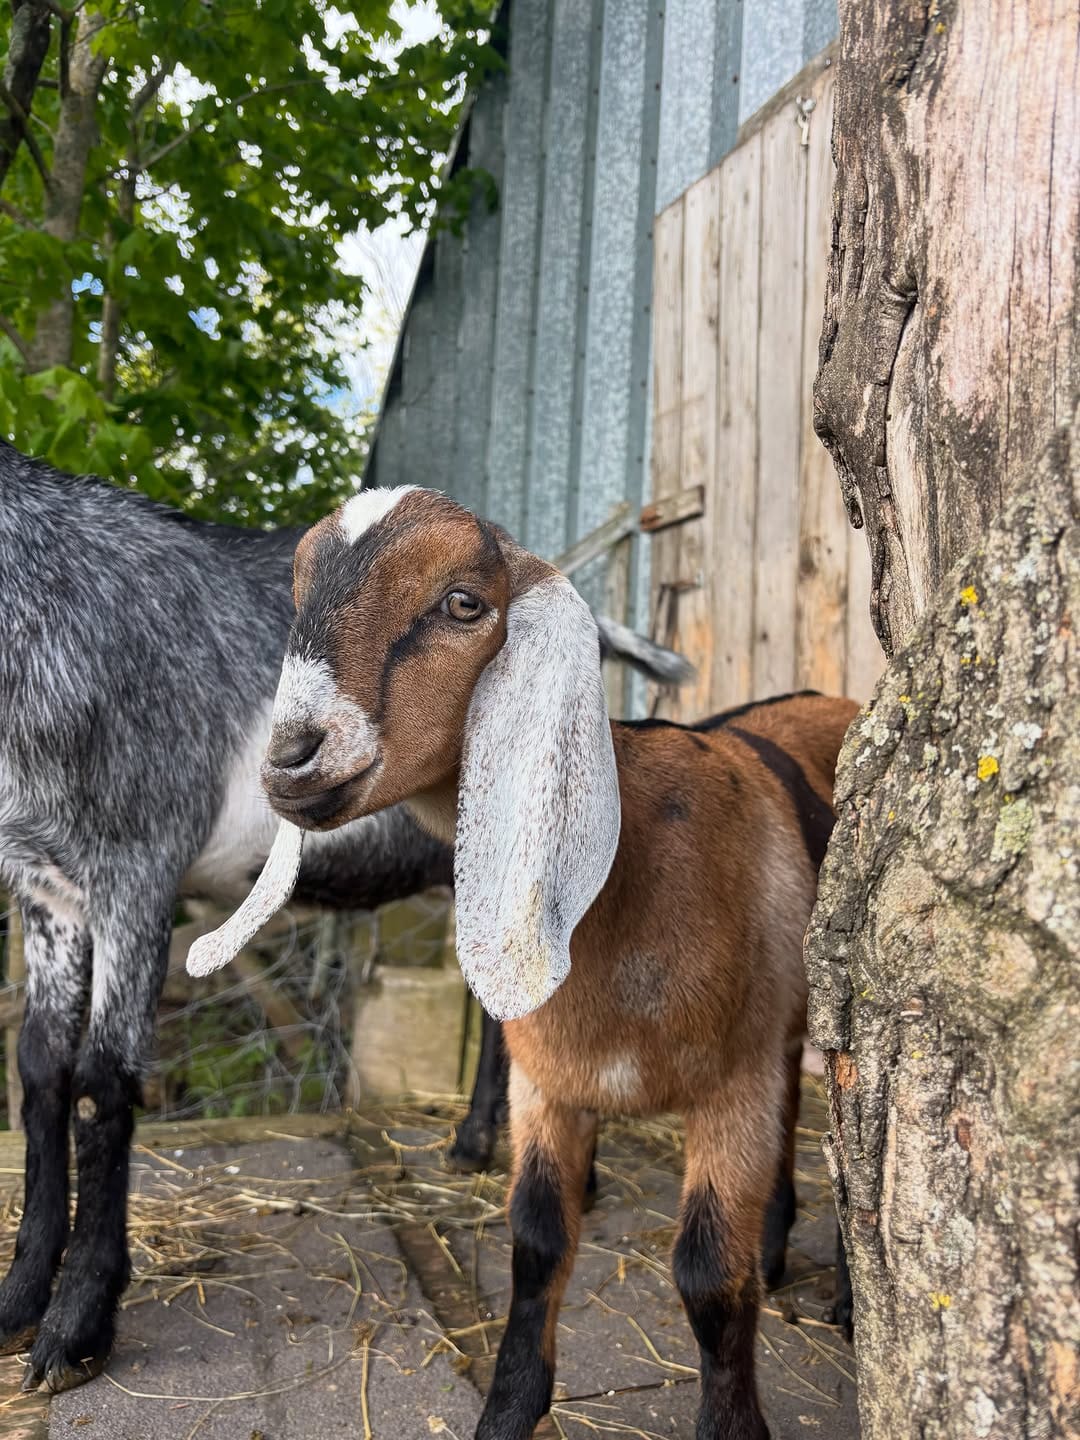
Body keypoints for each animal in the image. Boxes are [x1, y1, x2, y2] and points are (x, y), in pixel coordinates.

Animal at [0, 444, 686, 1392]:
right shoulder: (45, 886)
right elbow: (39, 1070)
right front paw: (17, 1300)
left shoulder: (139, 865)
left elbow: (103, 1082)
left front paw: (76, 1328)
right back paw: (473, 1144)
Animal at [190, 485, 859, 1440]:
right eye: (297, 596)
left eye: (464, 602)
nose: (288, 761)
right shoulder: (548, 1085)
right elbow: (538, 1241)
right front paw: (508, 1408)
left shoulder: (733, 1085)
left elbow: (704, 1273)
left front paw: (732, 1424)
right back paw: (774, 1249)